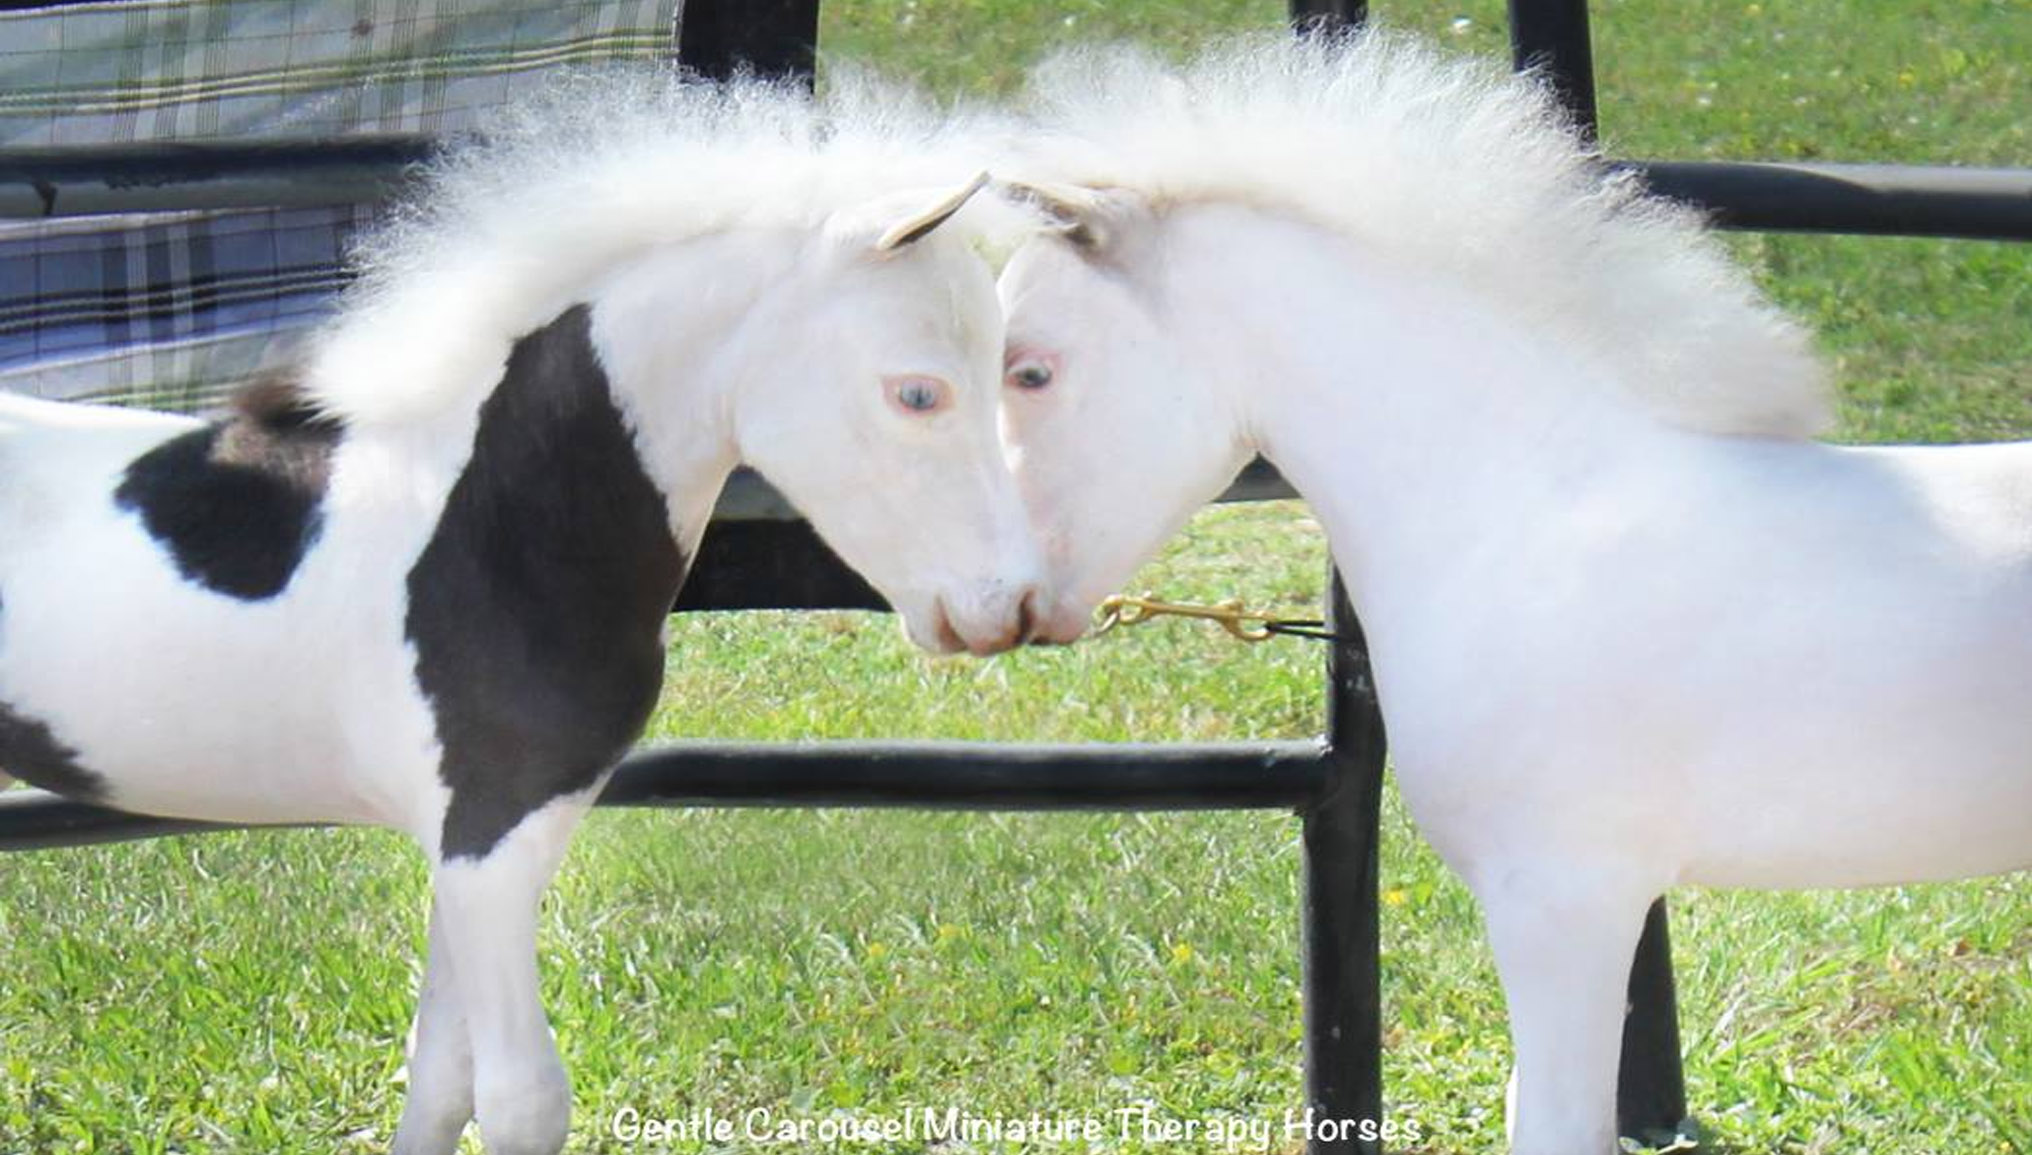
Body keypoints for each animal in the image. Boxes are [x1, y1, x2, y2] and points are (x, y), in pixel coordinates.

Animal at [0, 70, 1040, 1155]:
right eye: (917, 393)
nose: (1008, 605)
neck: (488, 518)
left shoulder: (473, 842)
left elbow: (439, 1075)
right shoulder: (491, 839)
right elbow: (519, 1094)